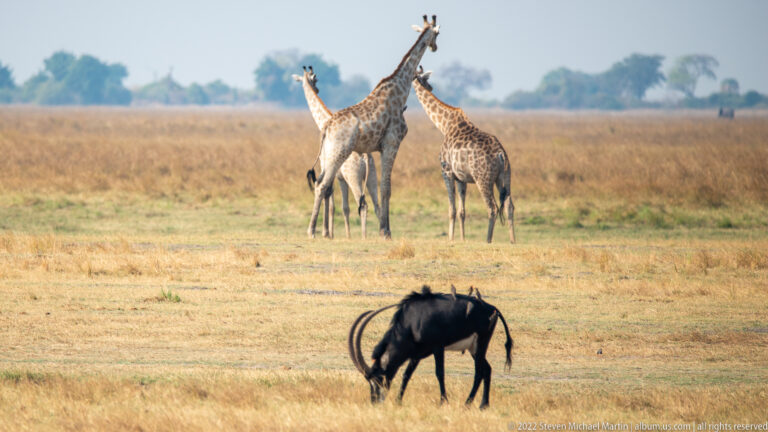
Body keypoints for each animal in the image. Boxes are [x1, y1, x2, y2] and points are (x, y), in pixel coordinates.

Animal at [293, 66, 380, 239]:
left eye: (315, 80)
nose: (317, 89)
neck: (324, 121)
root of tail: (365, 159)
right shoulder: (339, 177)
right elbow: (341, 206)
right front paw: (339, 234)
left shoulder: (326, 167)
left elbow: (328, 195)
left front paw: (327, 233)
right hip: (371, 176)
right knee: (377, 205)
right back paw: (383, 234)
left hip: (354, 177)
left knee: (363, 204)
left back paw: (364, 237)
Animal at [306, 15, 440, 239]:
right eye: (437, 33)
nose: (435, 47)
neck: (400, 89)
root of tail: (326, 127)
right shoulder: (392, 142)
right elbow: (386, 188)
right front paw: (385, 231)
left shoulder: (381, 147)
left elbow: (381, 191)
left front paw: (384, 229)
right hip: (339, 152)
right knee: (323, 185)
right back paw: (311, 231)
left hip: (331, 154)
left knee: (320, 183)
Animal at [413, 67, 516, 243]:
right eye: (426, 81)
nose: (430, 87)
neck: (444, 125)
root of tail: (501, 154)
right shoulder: (461, 178)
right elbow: (462, 212)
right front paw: (462, 239)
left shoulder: (446, 171)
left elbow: (452, 209)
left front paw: (451, 239)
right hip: (504, 177)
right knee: (509, 206)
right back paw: (512, 241)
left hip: (483, 179)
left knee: (492, 208)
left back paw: (488, 240)